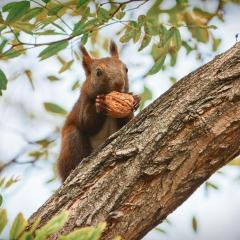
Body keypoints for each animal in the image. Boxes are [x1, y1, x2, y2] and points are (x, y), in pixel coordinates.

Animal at [56, 40, 139, 181]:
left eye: (126, 69)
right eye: (98, 72)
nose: (119, 83)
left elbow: (127, 123)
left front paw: (135, 99)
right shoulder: (84, 103)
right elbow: (87, 124)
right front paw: (100, 105)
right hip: (71, 143)